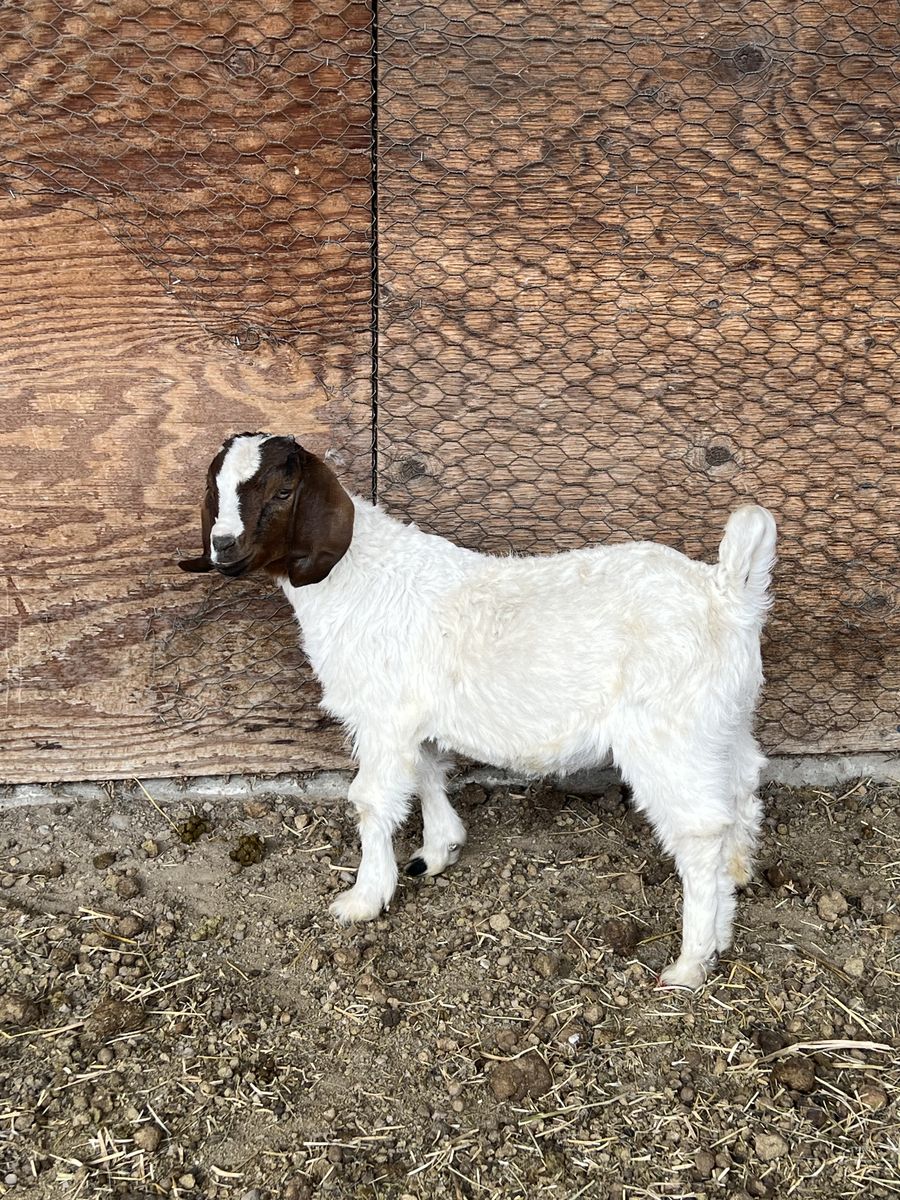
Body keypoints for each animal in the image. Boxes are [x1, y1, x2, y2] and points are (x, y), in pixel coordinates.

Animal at [180, 432, 776, 988]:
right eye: (216, 487)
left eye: (283, 492)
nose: (223, 546)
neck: (355, 579)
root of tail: (728, 595)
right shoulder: (413, 718)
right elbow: (425, 772)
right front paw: (438, 850)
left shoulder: (383, 717)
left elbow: (371, 799)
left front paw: (364, 898)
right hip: (721, 722)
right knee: (743, 784)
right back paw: (737, 878)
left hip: (668, 734)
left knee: (699, 831)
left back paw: (693, 958)